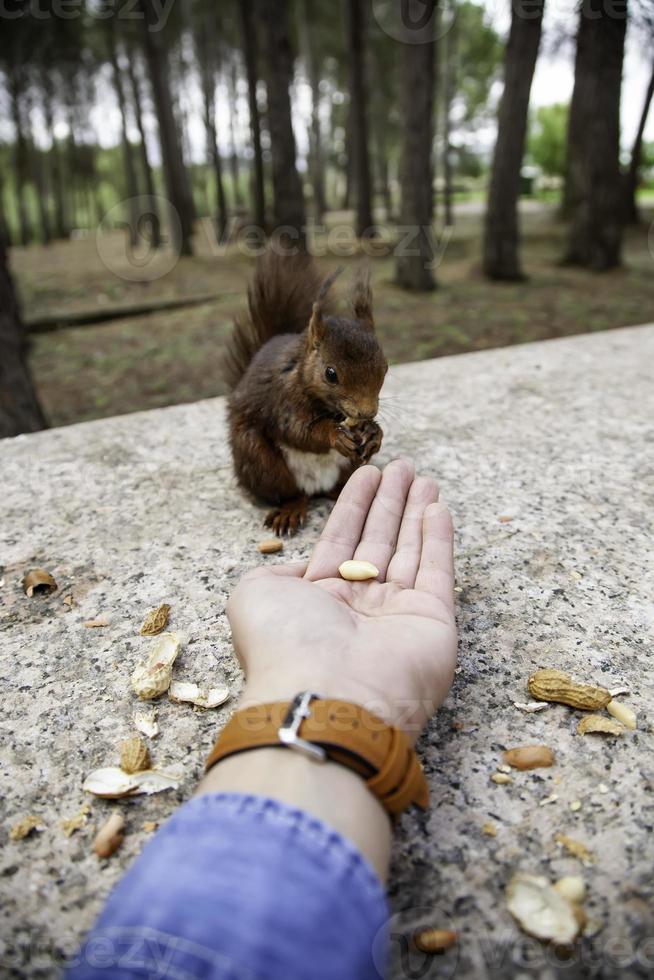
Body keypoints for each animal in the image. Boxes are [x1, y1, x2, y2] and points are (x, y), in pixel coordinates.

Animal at [226, 247, 390, 536]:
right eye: (330, 373)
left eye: (386, 367)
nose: (367, 412)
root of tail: (316, 486)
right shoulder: (283, 400)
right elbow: (299, 431)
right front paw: (334, 435)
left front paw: (374, 433)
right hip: (259, 460)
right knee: (292, 493)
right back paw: (290, 510)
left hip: (349, 465)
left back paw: (341, 489)